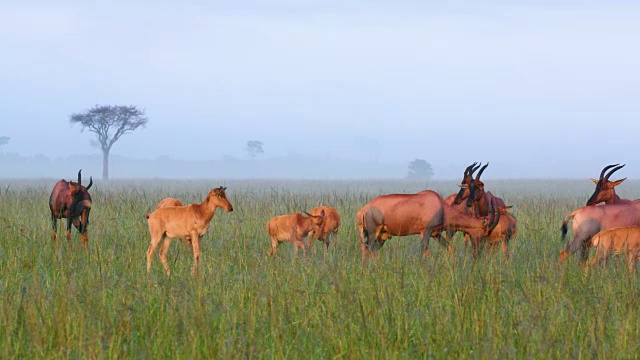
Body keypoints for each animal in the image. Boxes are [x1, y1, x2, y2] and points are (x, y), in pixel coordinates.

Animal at [356, 190, 500, 258]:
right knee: (368, 250)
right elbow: (424, 252)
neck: (439, 205)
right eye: (485, 232)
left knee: (371, 251)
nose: (478, 254)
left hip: (383, 235)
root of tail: (363, 210)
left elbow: (450, 248)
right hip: (373, 233)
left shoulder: (435, 234)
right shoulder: (425, 231)